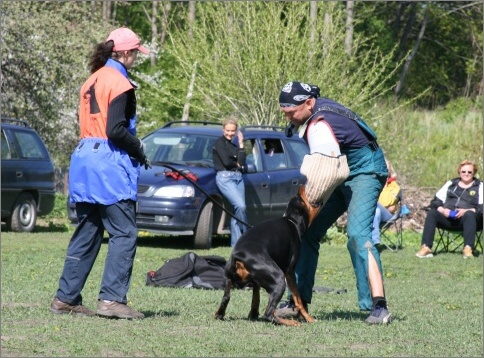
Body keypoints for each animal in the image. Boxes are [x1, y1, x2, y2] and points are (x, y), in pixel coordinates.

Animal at [216, 186, 322, 326]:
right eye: (300, 196)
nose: (301, 186)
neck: (292, 221)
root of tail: (237, 257)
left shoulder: (256, 280)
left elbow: (256, 297)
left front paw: (253, 314)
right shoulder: (289, 271)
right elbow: (297, 298)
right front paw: (308, 318)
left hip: (228, 279)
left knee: (226, 298)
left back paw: (219, 314)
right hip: (279, 280)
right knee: (268, 314)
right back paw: (291, 322)